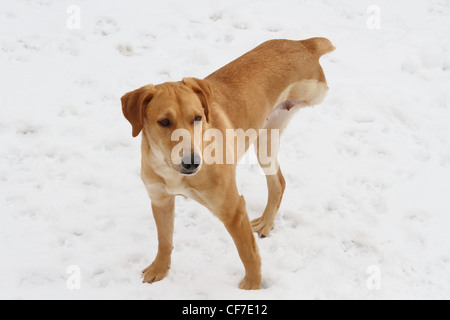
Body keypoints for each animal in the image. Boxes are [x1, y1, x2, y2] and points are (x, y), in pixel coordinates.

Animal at [121, 38, 336, 290]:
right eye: (164, 122)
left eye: (197, 117)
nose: (192, 163)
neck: (172, 171)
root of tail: (301, 44)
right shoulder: (160, 200)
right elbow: (164, 240)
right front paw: (160, 269)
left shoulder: (232, 210)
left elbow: (248, 254)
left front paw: (252, 286)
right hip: (264, 141)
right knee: (279, 183)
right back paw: (266, 222)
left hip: (307, 97)